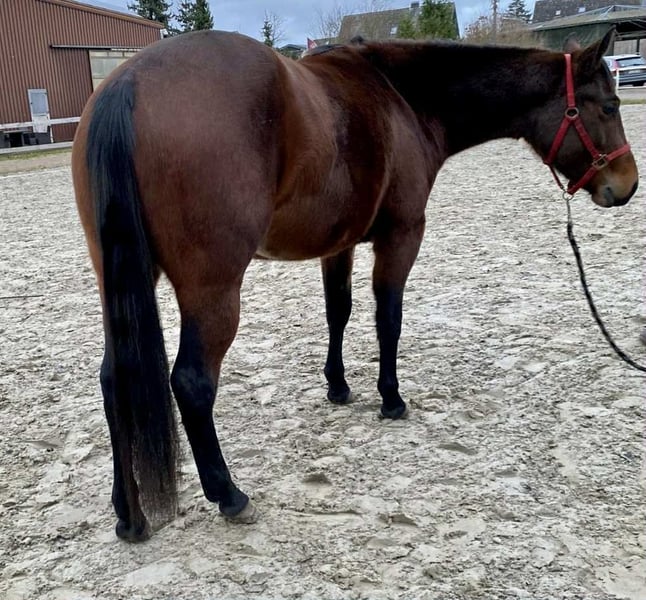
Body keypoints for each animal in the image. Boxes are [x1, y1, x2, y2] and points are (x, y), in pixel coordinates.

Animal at [72, 28, 638, 541]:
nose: (627, 185)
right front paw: (391, 399)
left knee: (113, 379)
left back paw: (130, 515)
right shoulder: (402, 235)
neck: (402, 96)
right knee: (191, 383)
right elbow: (388, 318)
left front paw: (338, 386)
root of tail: (130, 82)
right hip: (213, 290)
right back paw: (229, 495)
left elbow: (338, 312)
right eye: (608, 106)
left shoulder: (337, 244)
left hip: (120, 283)